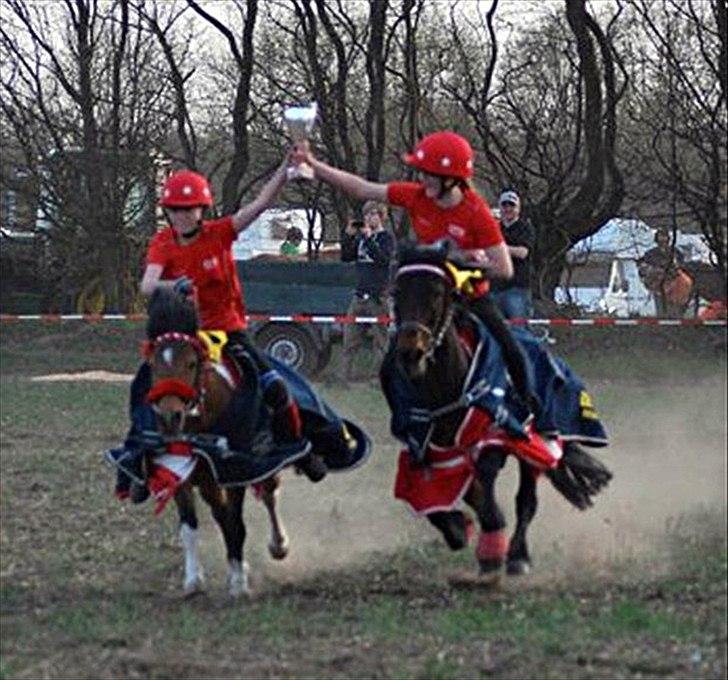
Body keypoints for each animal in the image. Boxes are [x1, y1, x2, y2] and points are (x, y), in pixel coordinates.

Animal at [382, 243, 616, 572]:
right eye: (397, 291)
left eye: (438, 293)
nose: (410, 352)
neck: (447, 385)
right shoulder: (431, 449)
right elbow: (435, 494)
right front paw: (459, 528)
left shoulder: (497, 436)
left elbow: (488, 480)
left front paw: (492, 545)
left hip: (534, 444)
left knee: (526, 500)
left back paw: (518, 555)